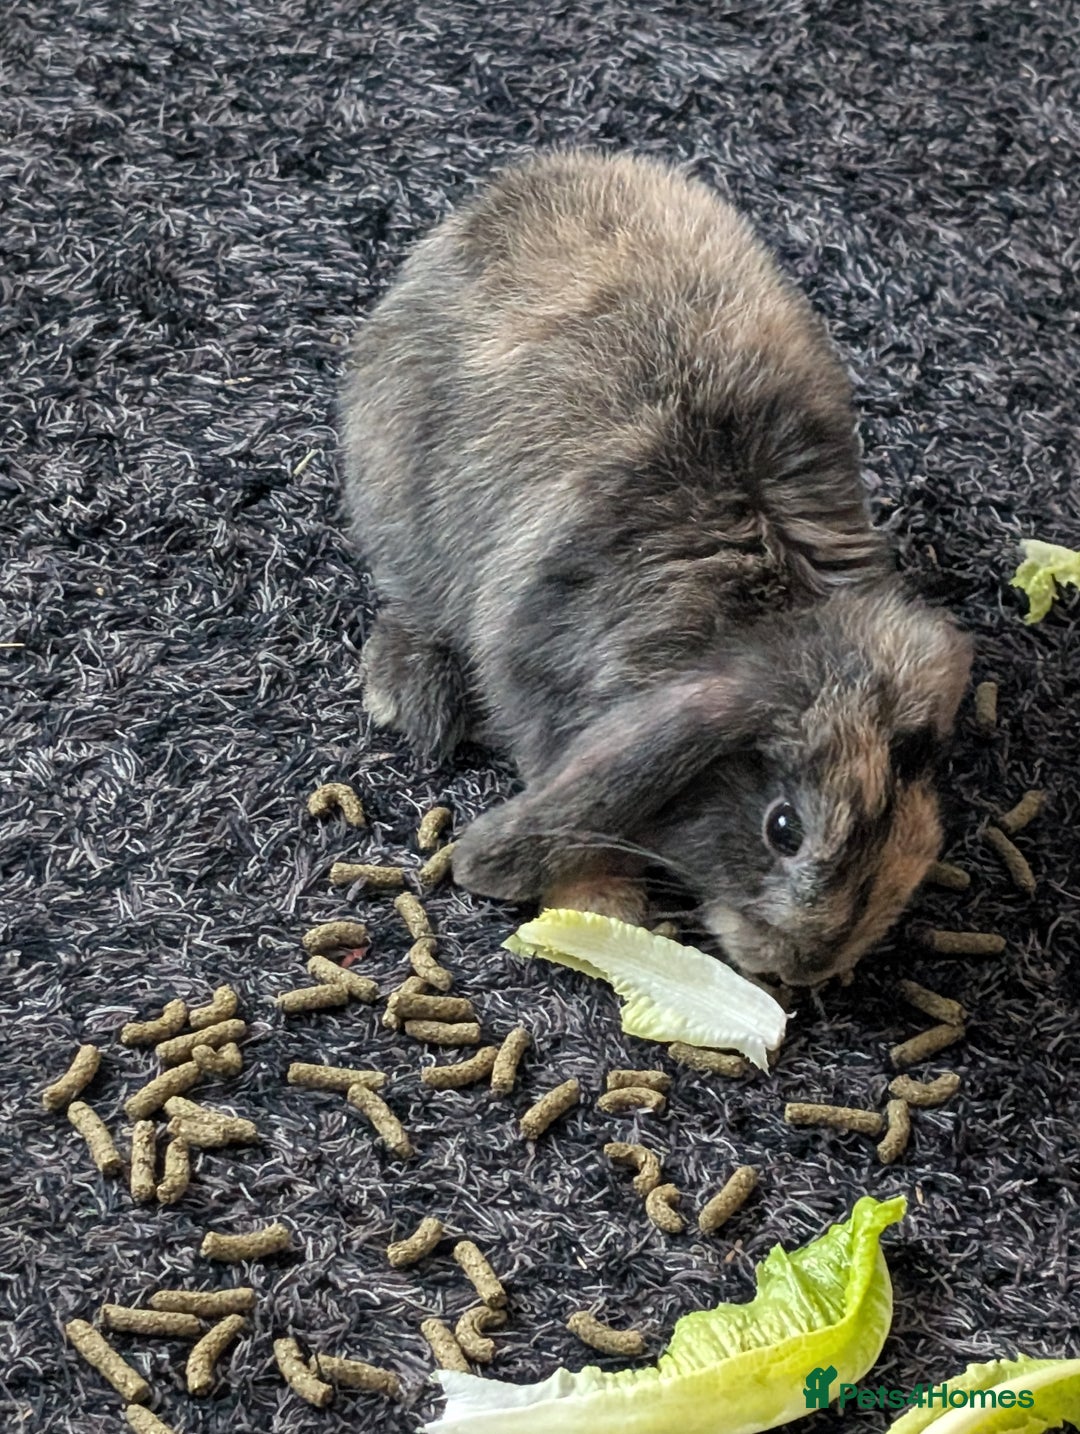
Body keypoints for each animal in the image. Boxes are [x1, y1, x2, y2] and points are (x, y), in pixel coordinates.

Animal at [339, 149, 972, 988]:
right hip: (396, 493)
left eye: (910, 819)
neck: (755, 614)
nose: (803, 969)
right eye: (782, 828)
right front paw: (603, 907)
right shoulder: (541, 694)